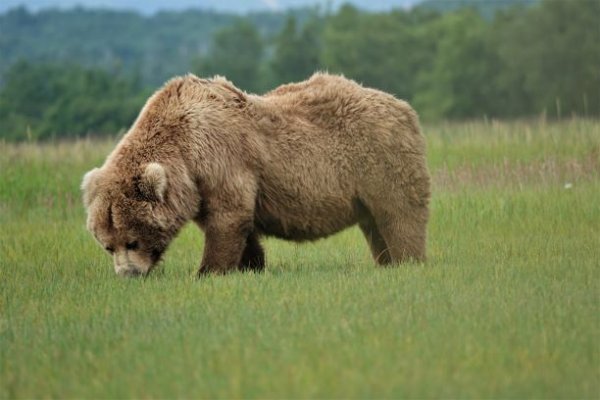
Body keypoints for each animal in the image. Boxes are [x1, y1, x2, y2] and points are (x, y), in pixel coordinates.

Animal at [82, 73, 428, 276]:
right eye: (108, 245)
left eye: (132, 241)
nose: (128, 274)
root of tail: (403, 106)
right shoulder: (202, 186)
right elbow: (237, 223)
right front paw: (251, 266)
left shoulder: (220, 158)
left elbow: (228, 217)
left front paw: (208, 272)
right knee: (374, 225)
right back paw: (386, 262)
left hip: (380, 162)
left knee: (400, 216)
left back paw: (408, 262)